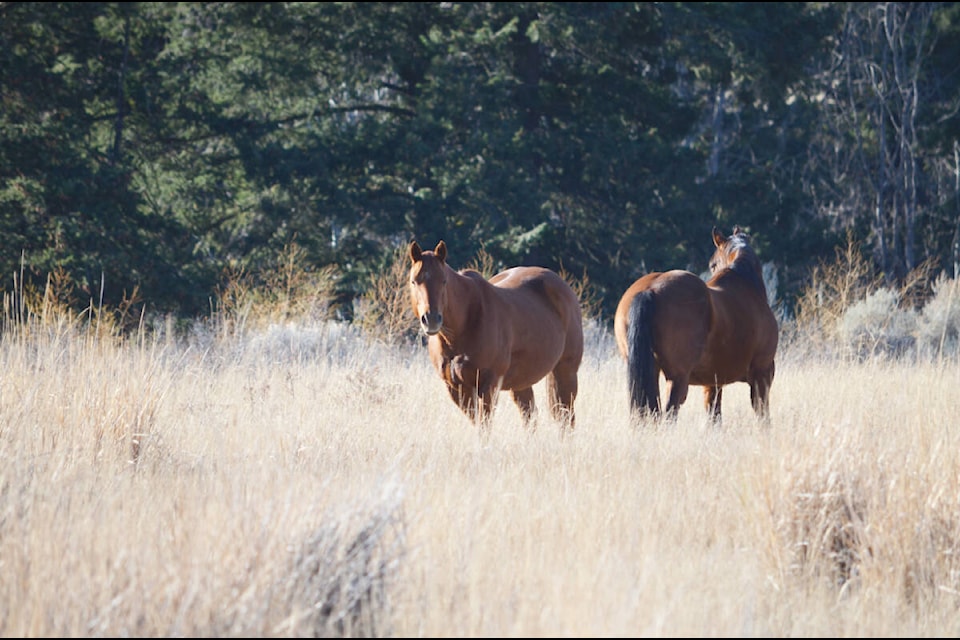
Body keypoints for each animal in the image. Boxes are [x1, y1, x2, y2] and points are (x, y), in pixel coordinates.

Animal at [406, 239, 580, 430]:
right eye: (414, 281)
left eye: (444, 281)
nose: (431, 319)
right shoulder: (456, 388)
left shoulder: (488, 384)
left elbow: (484, 426)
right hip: (521, 382)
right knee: (530, 416)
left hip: (565, 371)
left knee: (566, 418)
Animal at [616, 228, 780, 422]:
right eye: (712, 265)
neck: (747, 286)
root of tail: (651, 289)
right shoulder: (762, 376)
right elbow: (763, 419)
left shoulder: (712, 384)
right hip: (678, 379)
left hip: (649, 372)